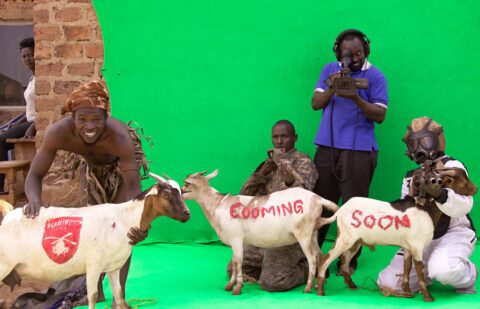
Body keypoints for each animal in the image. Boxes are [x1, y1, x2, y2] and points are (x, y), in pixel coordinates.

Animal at [0, 173, 190, 308]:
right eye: (166, 196)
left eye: (181, 193)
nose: (187, 214)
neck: (123, 219)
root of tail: (7, 216)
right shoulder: (93, 265)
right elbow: (92, 297)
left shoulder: (114, 267)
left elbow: (119, 297)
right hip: (4, 266)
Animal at [182, 170, 340, 294]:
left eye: (187, 183)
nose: (180, 192)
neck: (218, 205)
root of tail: (318, 198)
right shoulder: (234, 242)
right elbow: (234, 261)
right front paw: (230, 285)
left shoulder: (236, 238)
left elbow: (238, 262)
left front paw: (237, 288)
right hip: (313, 233)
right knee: (320, 255)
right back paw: (319, 284)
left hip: (304, 233)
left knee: (312, 258)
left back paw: (307, 287)